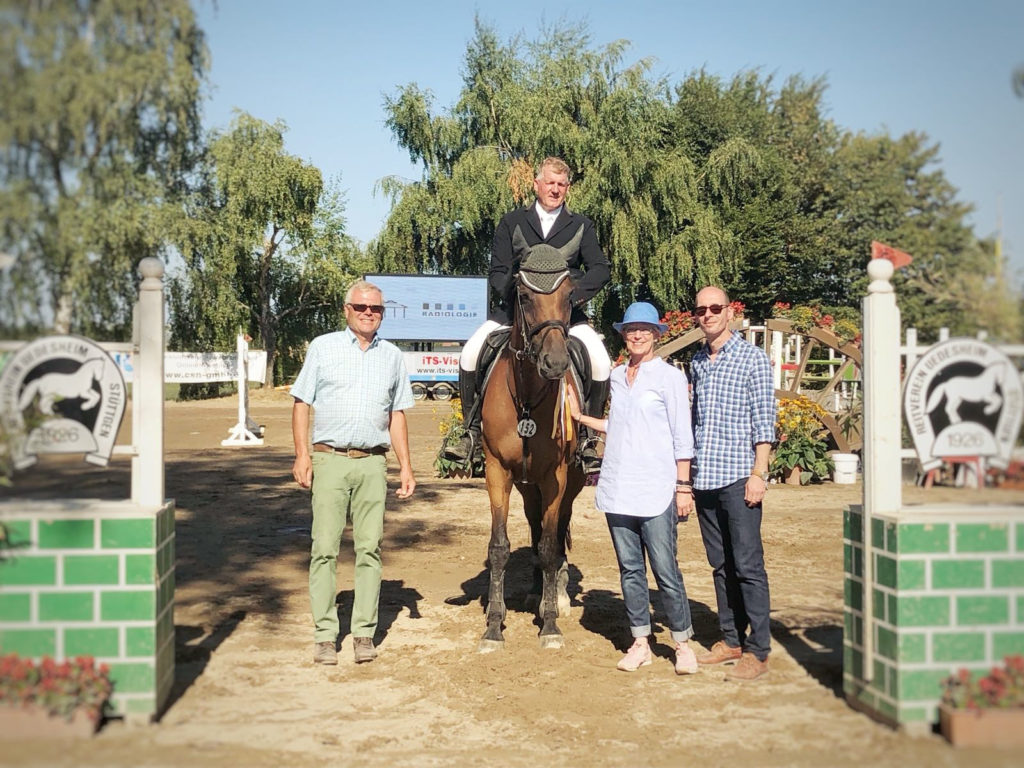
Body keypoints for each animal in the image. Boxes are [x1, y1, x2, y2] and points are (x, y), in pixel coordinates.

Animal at [477, 225, 585, 651]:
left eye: (570, 294)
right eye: (523, 295)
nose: (554, 364)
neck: (526, 397)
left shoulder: (556, 476)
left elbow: (551, 547)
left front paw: (551, 623)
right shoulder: (497, 472)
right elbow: (499, 547)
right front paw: (494, 625)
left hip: (571, 481)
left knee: (555, 532)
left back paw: (555, 596)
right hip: (527, 486)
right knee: (537, 525)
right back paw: (538, 592)